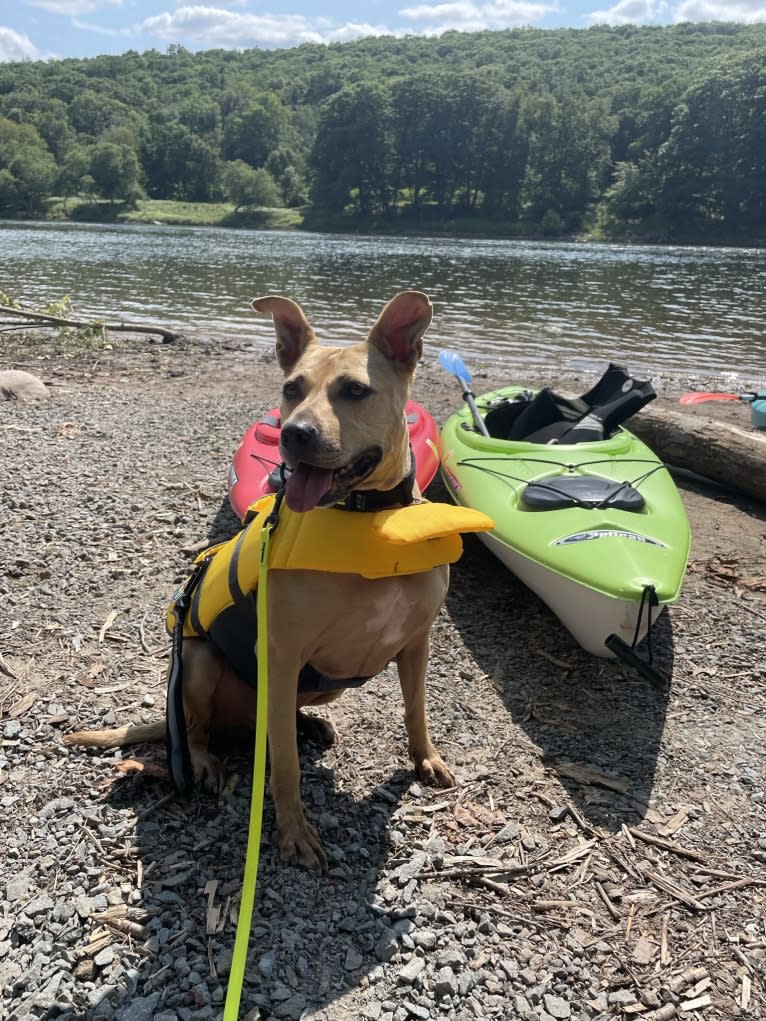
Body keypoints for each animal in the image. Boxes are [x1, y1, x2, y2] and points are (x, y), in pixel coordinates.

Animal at [65, 294, 455, 869]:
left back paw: (306, 725)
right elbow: (286, 769)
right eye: (292, 388)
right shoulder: (283, 654)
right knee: (205, 729)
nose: (293, 434)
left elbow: (416, 710)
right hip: (198, 662)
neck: (366, 517)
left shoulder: (415, 643)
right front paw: (294, 832)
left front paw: (425, 758)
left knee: (269, 722)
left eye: (355, 390)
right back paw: (206, 760)